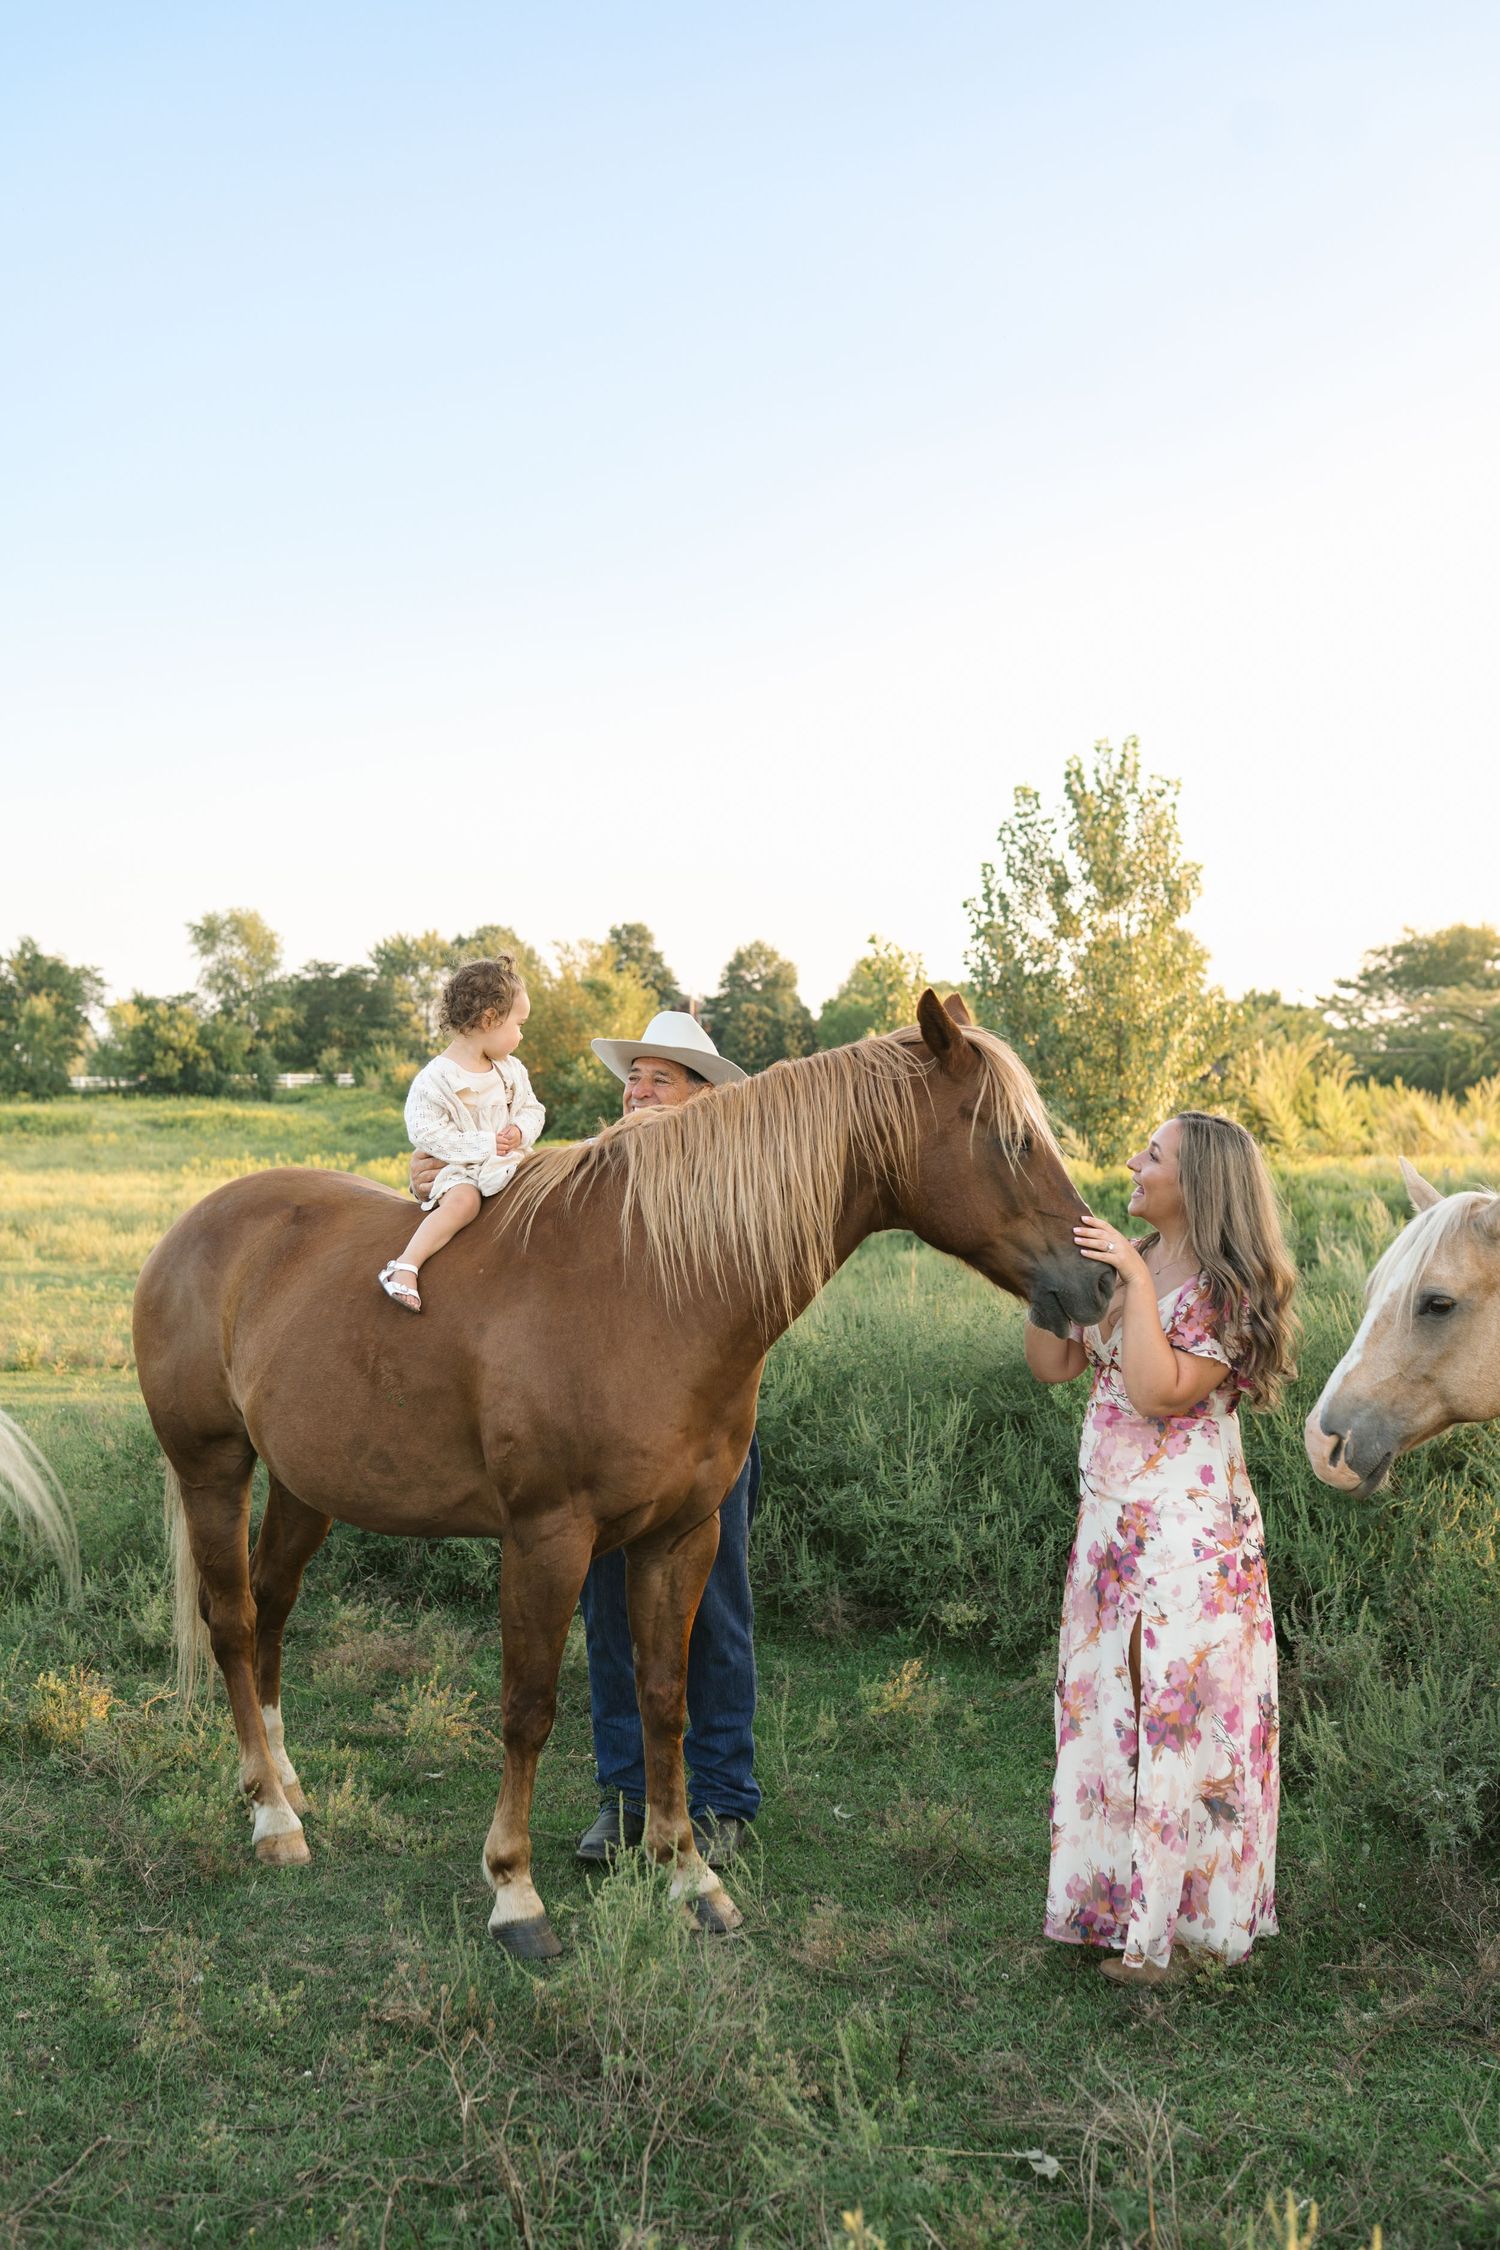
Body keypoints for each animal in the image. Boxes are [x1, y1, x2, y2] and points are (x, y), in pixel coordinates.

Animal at [133, 991, 1111, 1957]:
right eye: (1012, 1142)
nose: (1097, 1284)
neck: (652, 1287)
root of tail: (195, 1226)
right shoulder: (546, 1539)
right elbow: (529, 1707)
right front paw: (515, 1893)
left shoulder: (682, 1537)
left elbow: (665, 1700)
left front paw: (688, 1876)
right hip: (213, 1469)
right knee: (231, 1622)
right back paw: (272, 1818)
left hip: (306, 1487)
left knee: (271, 1608)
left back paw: (285, 1780)